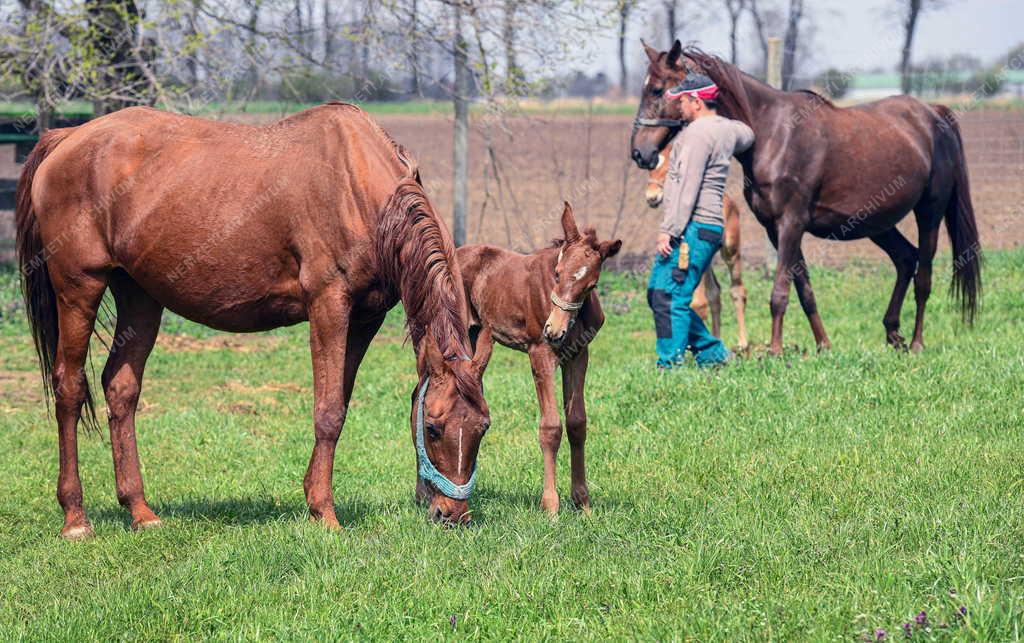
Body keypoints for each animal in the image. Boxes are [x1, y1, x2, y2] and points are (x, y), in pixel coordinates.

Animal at [16, 104, 493, 536]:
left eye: (482, 428)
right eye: (433, 429)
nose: (452, 516)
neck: (358, 189)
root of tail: (67, 137)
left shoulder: (366, 318)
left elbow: (343, 404)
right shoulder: (329, 306)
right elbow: (328, 411)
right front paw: (324, 513)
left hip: (140, 296)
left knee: (121, 389)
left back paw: (140, 511)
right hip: (80, 287)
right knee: (69, 388)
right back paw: (75, 518)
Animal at [458, 203, 618, 513]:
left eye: (591, 286)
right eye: (557, 272)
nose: (553, 330)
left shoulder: (578, 355)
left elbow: (577, 423)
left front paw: (583, 502)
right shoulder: (540, 353)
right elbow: (551, 426)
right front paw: (550, 505)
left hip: (476, 340)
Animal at [626, 41, 978, 354]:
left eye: (657, 89)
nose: (640, 152)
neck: (773, 133)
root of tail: (933, 113)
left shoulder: (791, 225)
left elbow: (780, 291)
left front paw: (775, 351)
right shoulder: (775, 228)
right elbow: (804, 288)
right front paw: (823, 345)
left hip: (929, 213)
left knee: (924, 277)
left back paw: (916, 343)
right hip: (874, 223)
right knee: (906, 259)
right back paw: (893, 334)